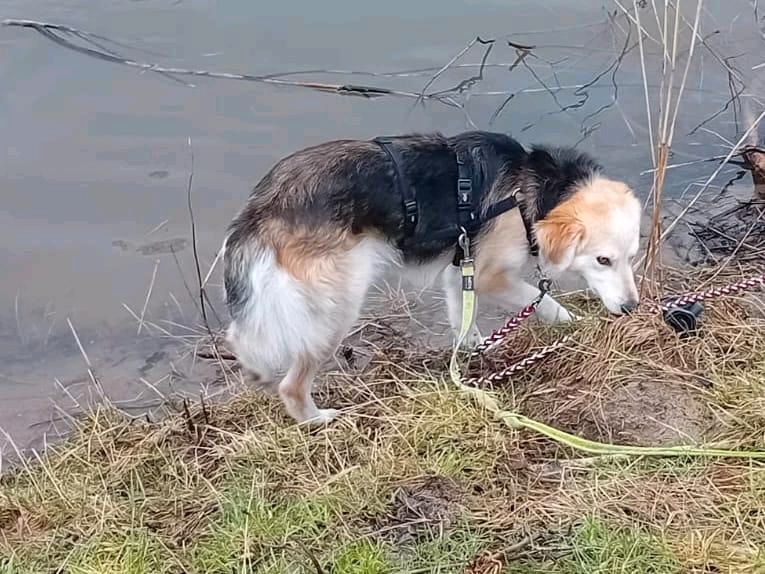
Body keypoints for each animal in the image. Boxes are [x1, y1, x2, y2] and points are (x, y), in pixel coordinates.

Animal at [224, 132, 640, 428]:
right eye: (603, 260)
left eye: (632, 257)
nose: (631, 308)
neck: (535, 190)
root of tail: (265, 203)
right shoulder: (489, 276)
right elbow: (547, 303)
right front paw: (575, 325)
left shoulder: (460, 271)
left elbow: (463, 321)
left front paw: (470, 355)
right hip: (337, 306)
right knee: (292, 384)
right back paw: (314, 418)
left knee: (240, 336)